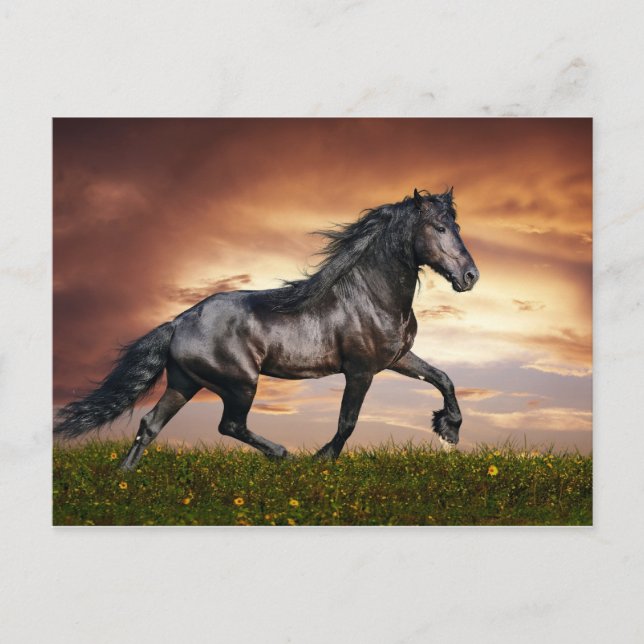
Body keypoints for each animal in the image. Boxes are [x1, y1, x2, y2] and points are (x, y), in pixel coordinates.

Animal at [54, 188, 479, 470]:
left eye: (456, 225)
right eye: (440, 227)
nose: (470, 277)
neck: (370, 295)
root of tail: (178, 322)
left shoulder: (397, 358)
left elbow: (443, 378)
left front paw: (449, 430)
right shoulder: (360, 371)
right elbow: (347, 421)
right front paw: (322, 459)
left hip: (184, 383)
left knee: (150, 424)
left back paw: (125, 477)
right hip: (240, 383)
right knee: (229, 425)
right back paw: (282, 454)